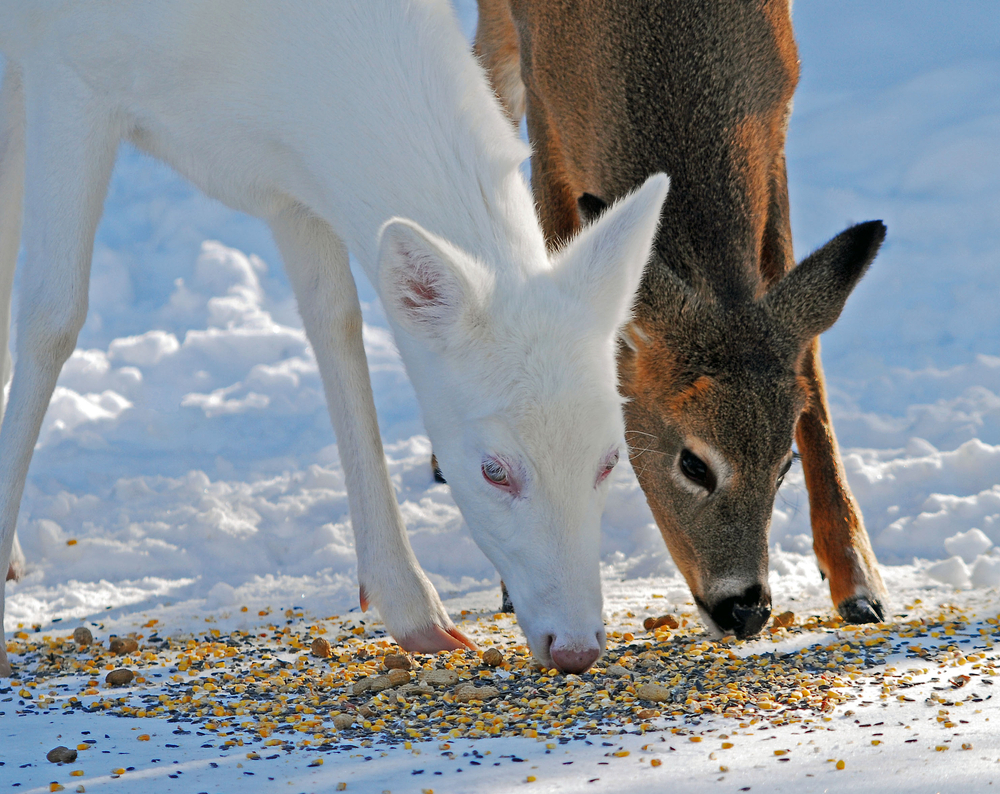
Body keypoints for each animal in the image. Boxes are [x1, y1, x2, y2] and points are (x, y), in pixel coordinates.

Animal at [0, 0, 671, 677]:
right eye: (492, 470)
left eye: (612, 459)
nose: (577, 647)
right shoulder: (68, 68)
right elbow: (53, 316)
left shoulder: (290, 185)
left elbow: (337, 322)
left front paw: (412, 606)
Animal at [475, 0, 888, 639]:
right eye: (693, 463)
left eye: (783, 465)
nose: (746, 608)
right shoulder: (549, 116)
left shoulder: (776, 123)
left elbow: (809, 358)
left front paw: (857, 577)